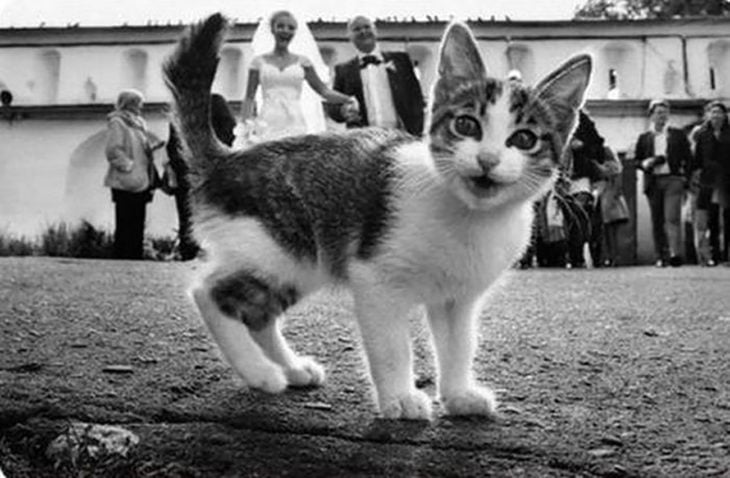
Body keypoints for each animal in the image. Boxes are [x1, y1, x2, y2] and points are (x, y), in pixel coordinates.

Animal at [162, 13, 588, 420]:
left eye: (525, 139)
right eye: (466, 124)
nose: (487, 159)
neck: (468, 216)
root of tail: (226, 160)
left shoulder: (457, 298)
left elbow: (458, 345)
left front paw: (458, 395)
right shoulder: (375, 278)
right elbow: (391, 345)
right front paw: (400, 398)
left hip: (299, 263)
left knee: (258, 314)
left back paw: (291, 368)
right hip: (275, 246)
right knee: (207, 292)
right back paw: (260, 372)